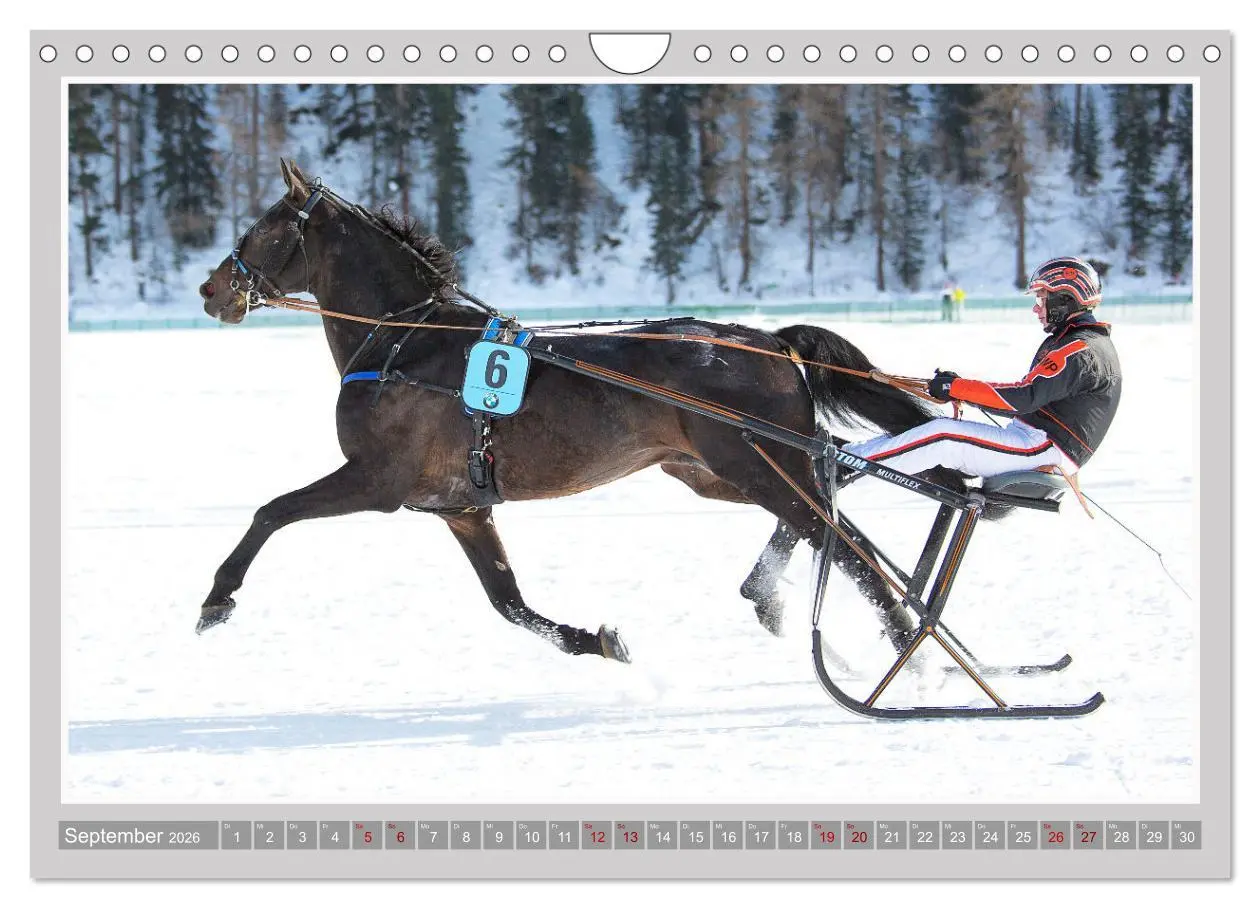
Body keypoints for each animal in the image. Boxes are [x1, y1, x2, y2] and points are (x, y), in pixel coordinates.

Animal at [194, 159, 953, 662]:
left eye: (264, 227)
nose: (210, 288)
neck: (406, 341)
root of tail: (767, 339)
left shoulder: (375, 480)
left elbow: (271, 512)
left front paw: (217, 598)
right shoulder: (460, 507)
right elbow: (509, 603)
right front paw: (597, 639)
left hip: (755, 465)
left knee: (841, 538)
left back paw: (900, 641)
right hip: (717, 471)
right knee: (833, 499)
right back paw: (776, 594)